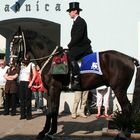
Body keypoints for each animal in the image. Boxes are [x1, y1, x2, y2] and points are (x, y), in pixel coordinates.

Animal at [10, 28, 140, 139]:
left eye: (16, 42)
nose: (12, 63)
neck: (51, 60)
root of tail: (129, 58)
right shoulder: (49, 91)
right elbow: (50, 110)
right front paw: (46, 131)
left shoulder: (54, 89)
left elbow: (53, 110)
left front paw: (50, 132)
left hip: (119, 89)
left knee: (126, 108)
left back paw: (123, 133)